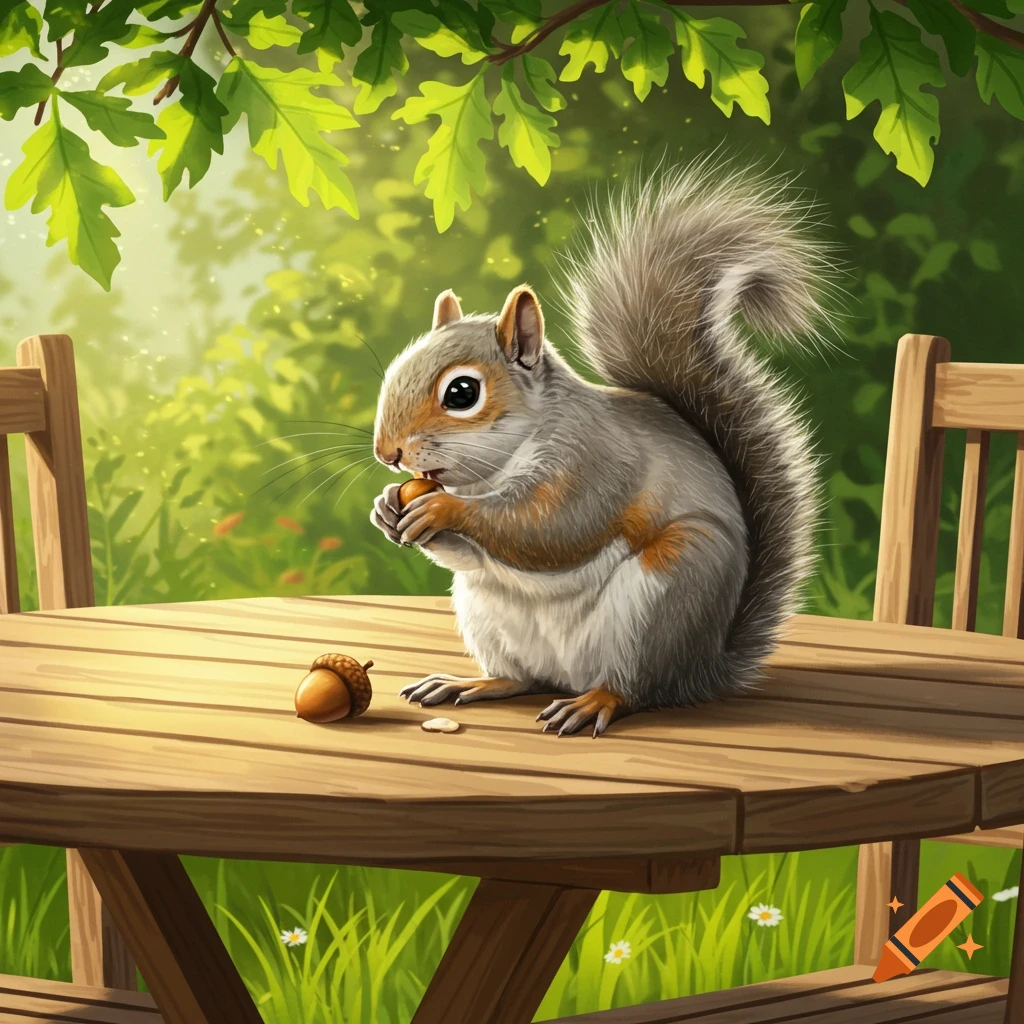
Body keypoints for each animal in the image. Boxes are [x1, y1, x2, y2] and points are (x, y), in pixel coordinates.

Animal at [370, 158, 830, 737]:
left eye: (462, 392)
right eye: (393, 370)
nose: (388, 454)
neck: (494, 473)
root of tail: (703, 668)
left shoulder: (596, 461)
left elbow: (551, 527)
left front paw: (443, 508)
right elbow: (473, 552)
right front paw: (387, 507)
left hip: (667, 594)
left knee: (634, 688)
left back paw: (593, 703)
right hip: (485, 613)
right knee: (521, 677)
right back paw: (472, 683)